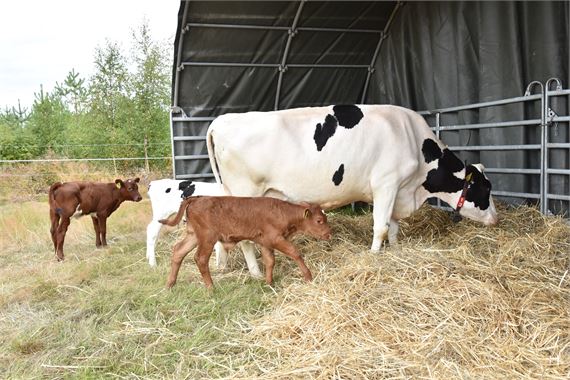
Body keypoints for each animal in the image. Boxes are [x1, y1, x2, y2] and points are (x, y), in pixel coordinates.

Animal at [158, 196, 330, 288]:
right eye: (319, 220)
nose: (329, 234)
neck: (282, 213)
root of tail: (198, 197)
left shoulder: (265, 242)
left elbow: (270, 261)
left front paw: (269, 283)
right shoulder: (276, 238)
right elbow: (295, 253)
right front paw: (308, 276)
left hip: (193, 235)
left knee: (178, 251)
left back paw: (169, 285)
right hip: (207, 237)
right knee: (200, 258)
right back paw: (211, 288)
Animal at [206, 104, 494, 274]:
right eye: (486, 188)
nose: (496, 217)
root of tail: (221, 121)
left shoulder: (394, 189)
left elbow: (393, 227)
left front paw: (396, 250)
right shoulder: (386, 183)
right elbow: (381, 226)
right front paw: (375, 255)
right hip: (246, 192)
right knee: (243, 237)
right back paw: (255, 273)